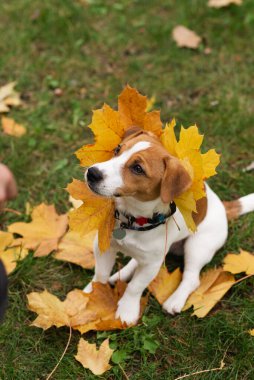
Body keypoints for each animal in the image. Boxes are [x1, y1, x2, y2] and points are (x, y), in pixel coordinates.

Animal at [84, 126, 254, 326]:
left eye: (138, 168)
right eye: (118, 149)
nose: (92, 173)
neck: (134, 217)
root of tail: (223, 206)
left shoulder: (152, 264)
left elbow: (135, 286)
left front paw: (127, 310)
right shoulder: (103, 245)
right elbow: (100, 274)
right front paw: (92, 293)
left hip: (198, 247)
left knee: (191, 278)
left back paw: (175, 300)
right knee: (136, 262)